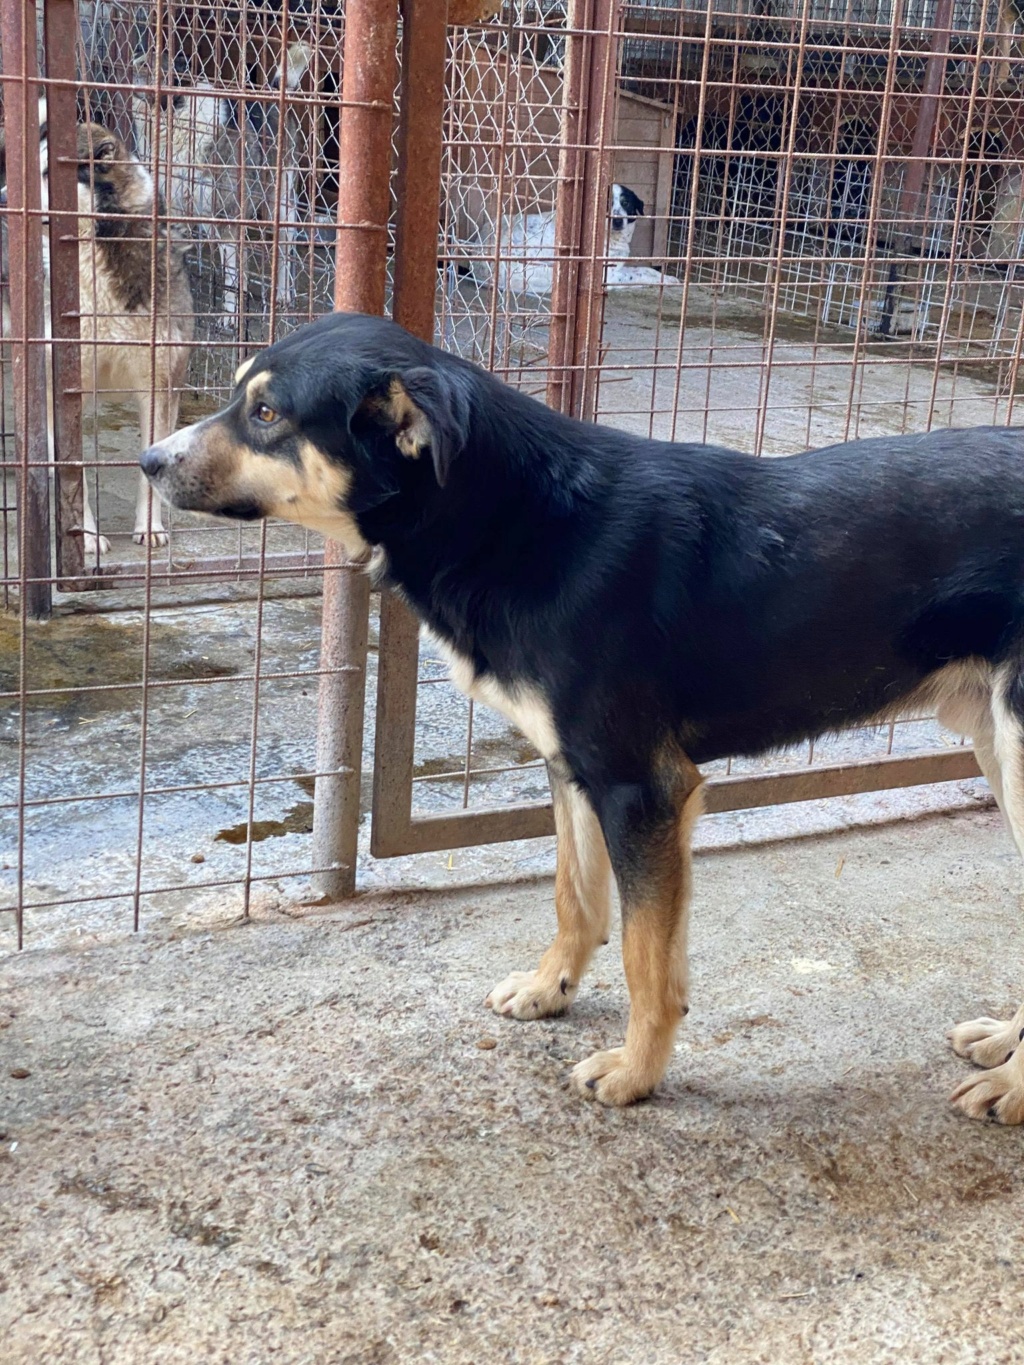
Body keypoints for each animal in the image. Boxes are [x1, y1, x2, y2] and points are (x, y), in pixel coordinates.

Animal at [1, 102, 193, 548]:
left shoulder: (160, 386)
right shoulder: (61, 388)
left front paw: (149, 528)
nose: (2, 201)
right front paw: (84, 538)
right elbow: (75, 474)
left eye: (49, 175)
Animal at [140, 309, 1024, 1119]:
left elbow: (645, 957)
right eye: (239, 398)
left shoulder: (642, 788)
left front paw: (635, 1073)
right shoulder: (571, 768)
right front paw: (550, 989)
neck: (519, 521)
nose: (148, 460)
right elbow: (577, 897)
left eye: (266, 413)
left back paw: (1012, 1086)